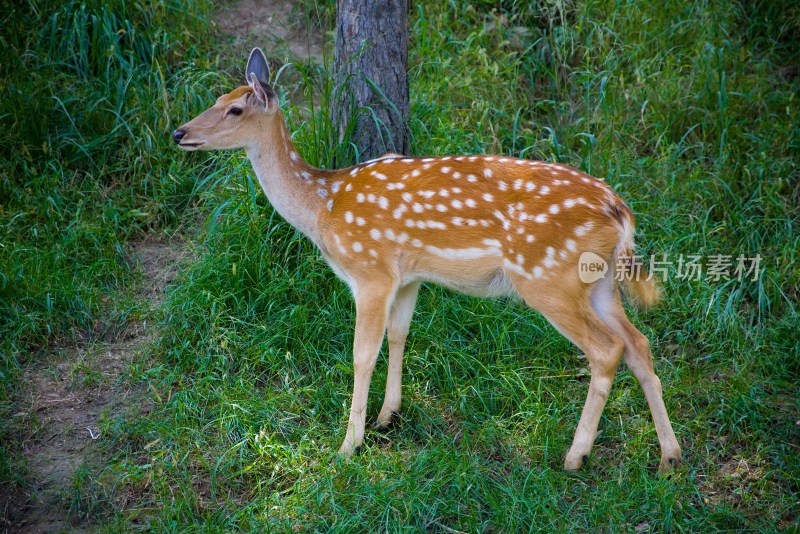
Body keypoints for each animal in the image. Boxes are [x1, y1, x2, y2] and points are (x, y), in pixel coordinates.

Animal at [173, 48, 680, 476]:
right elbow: (400, 335)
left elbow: (362, 353)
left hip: (547, 277)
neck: (323, 206)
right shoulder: (409, 277)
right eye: (217, 98)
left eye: (236, 110)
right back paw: (669, 456)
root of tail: (621, 212)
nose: (179, 133)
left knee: (606, 349)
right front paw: (387, 417)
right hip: (599, 282)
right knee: (638, 343)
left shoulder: (371, 271)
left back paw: (576, 456)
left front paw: (348, 445)